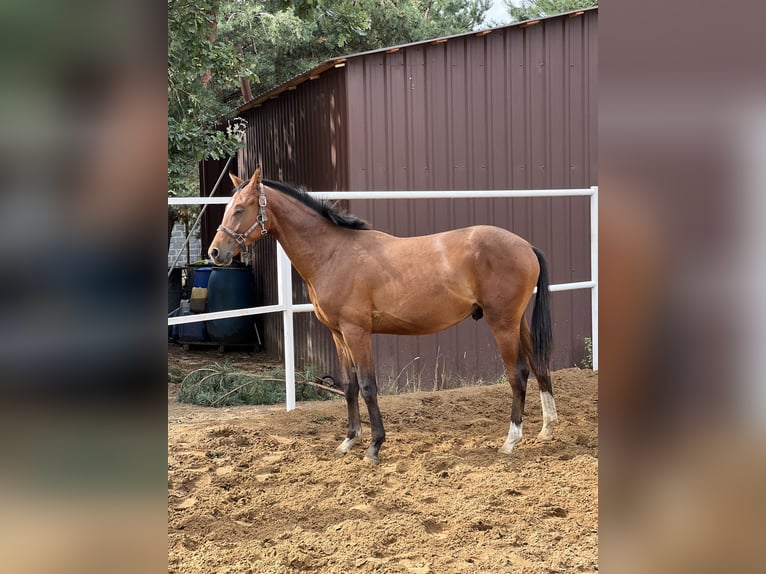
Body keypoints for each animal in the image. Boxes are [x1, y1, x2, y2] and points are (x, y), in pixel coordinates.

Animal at [209, 168, 557, 464]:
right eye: (227, 208)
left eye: (240, 209)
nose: (215, 252)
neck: (333, 253)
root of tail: (526, 245)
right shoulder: (338, 334)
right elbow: (349, 386)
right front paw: (349, 440)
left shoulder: (357, 332)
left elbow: (367, 386)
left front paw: (374, 446)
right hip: (517, 322)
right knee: (539, 366)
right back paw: (547, 428)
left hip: (502, 324)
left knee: (518, 374)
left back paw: (511, 440)